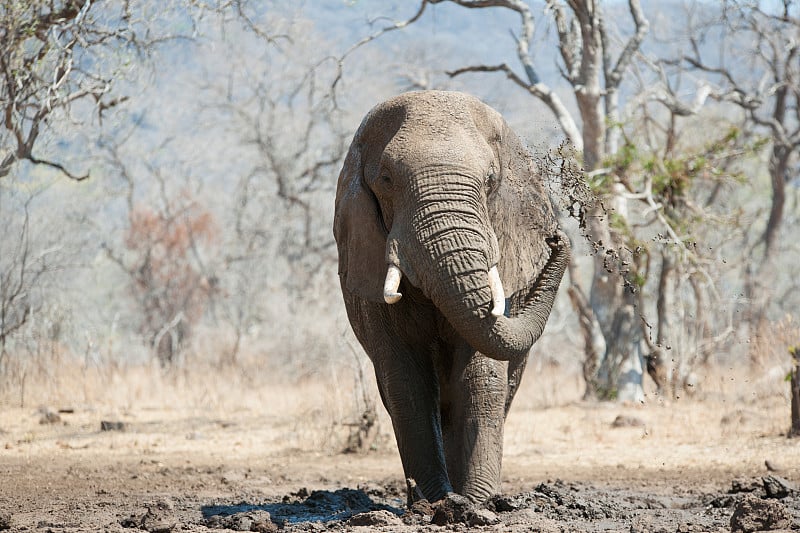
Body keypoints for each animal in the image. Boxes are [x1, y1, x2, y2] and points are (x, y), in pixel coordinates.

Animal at [332, 91, 568, 508]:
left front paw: (475, 505)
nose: (557, 239)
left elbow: (481, 375)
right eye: (386, 179)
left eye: (490, 180)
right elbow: (405, 381)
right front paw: (436, 504)